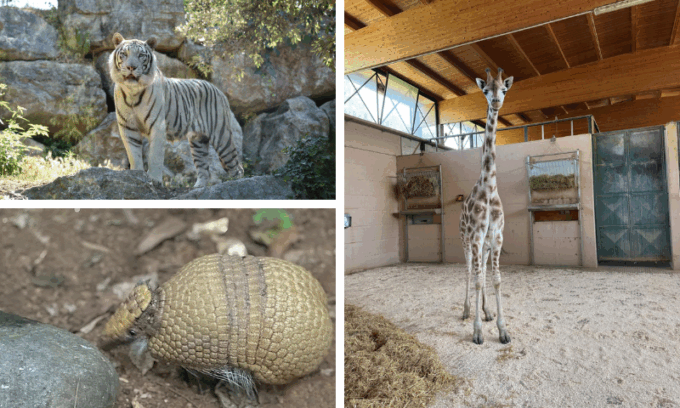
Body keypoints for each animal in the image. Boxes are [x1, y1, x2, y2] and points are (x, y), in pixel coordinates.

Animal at [109, 32, 244, 188]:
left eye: (141, 55)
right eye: (124, 54)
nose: (131, 67)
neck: (132, 92)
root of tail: (218, 89)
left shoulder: (157, 126)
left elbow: (155, 156)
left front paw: (154, 179)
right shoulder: (128, 127)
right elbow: (134, 155)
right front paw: (136, 176)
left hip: (221, 135)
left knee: (237, 166)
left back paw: (236, 183)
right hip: (198, 141)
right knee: (204, 169)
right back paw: (198, 188)